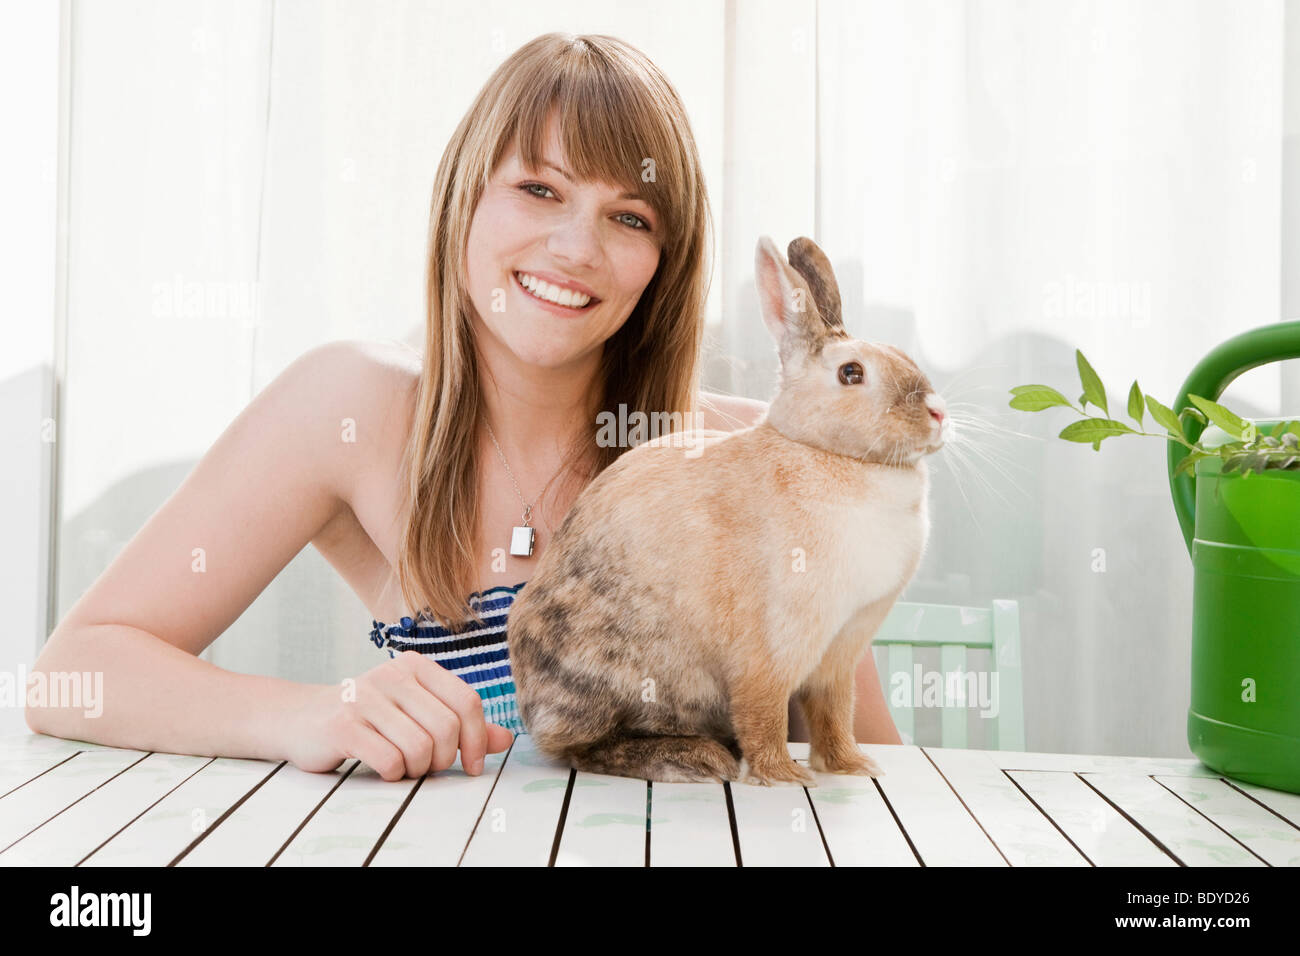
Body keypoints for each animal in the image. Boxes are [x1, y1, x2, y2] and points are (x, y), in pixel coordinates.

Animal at [506, 235, 948, 786]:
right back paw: (696, 758)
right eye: (852, 373)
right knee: (577, 748)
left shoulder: (839, 653)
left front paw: (852, 766)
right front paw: (784, 775)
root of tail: (530, 701)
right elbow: (764, 715)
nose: (937, 412)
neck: (829, 453)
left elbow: (833, 715)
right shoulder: (769, 649)